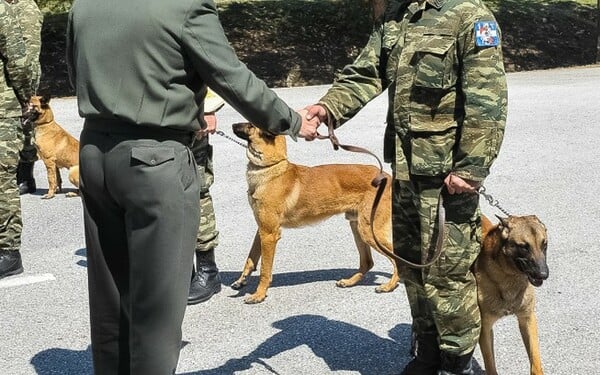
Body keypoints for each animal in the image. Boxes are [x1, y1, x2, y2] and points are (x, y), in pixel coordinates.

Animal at [230, 123, 398, 306]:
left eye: (250, 125)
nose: (232, 125)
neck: (271, 167)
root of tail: (387, 176)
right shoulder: (262, 230)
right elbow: (251, 259)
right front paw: (241, 280)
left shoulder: (269, 234)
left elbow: (264, 270)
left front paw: (259, 294)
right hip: (358, 228)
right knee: (367, 262)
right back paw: (350, 281)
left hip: (369, 231)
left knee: (396, 258)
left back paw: (390, 285)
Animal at [476, 216, 552, 375]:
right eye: (524, 247)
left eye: (544, 244)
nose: (543, 274)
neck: (509, 275)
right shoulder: (485, 329)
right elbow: (491, 366)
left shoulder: (528, 319)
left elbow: (535, 363)